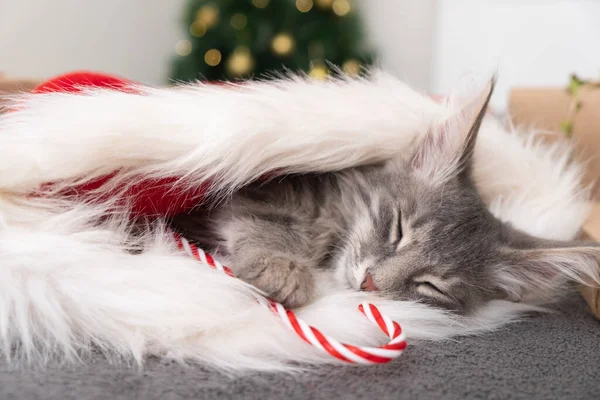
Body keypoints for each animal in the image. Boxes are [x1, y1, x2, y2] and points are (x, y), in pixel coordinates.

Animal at [170, 79, 600, 312]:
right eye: (398, 230)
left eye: (430, 285)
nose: (369, 284)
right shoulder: (259, 193)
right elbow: (271, 226)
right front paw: (283, 270)